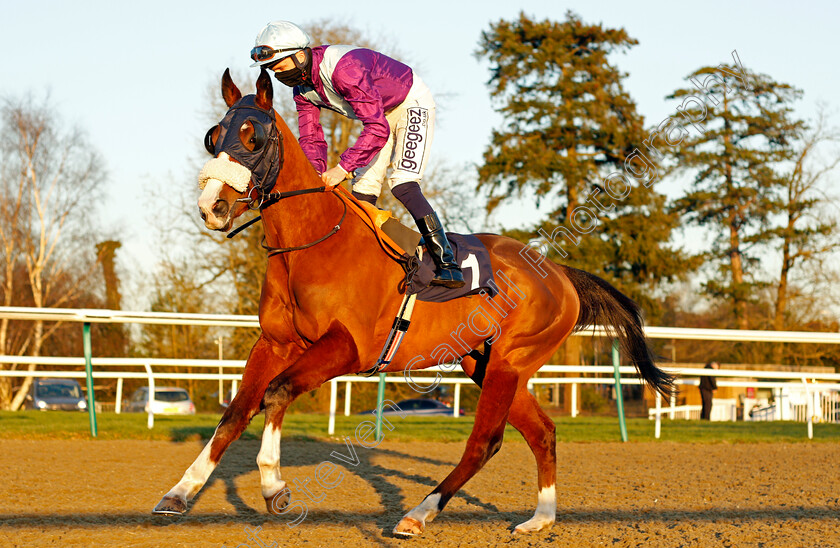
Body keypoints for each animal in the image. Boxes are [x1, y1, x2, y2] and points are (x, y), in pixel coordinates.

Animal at [153, 68, 676, 536]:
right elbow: (236, 412)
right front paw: (180, 492)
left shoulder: (347, 348)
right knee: (542, 431)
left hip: (510, 361)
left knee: (486, 440)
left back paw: (418, 514)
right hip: (484, 363)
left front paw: (273, 487)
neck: (312, 243)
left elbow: (276, 393)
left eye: (253, 136)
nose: (211, 207)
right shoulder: (275, 342)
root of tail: (561, 274)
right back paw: (540, 518)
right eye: (213, 136)